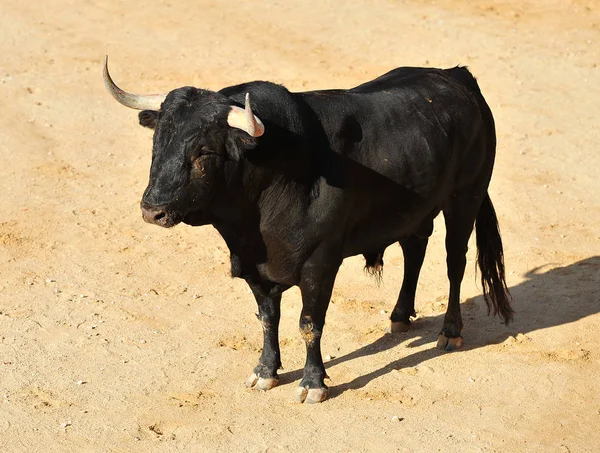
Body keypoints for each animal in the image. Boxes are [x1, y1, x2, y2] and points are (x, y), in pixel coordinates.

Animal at [102, 58, 510, 404]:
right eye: (158, 142)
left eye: (204, 152)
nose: (153, 210)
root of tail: (458, 76)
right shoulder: (255, 267)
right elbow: (268, 318)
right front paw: (265, 372)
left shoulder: (320, 264)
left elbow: (310, 324)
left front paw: (313, 383)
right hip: (415, 208)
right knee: (415, 249)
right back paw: (399, 316)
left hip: (466, 198)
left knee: (455, 262)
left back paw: (450, 332)